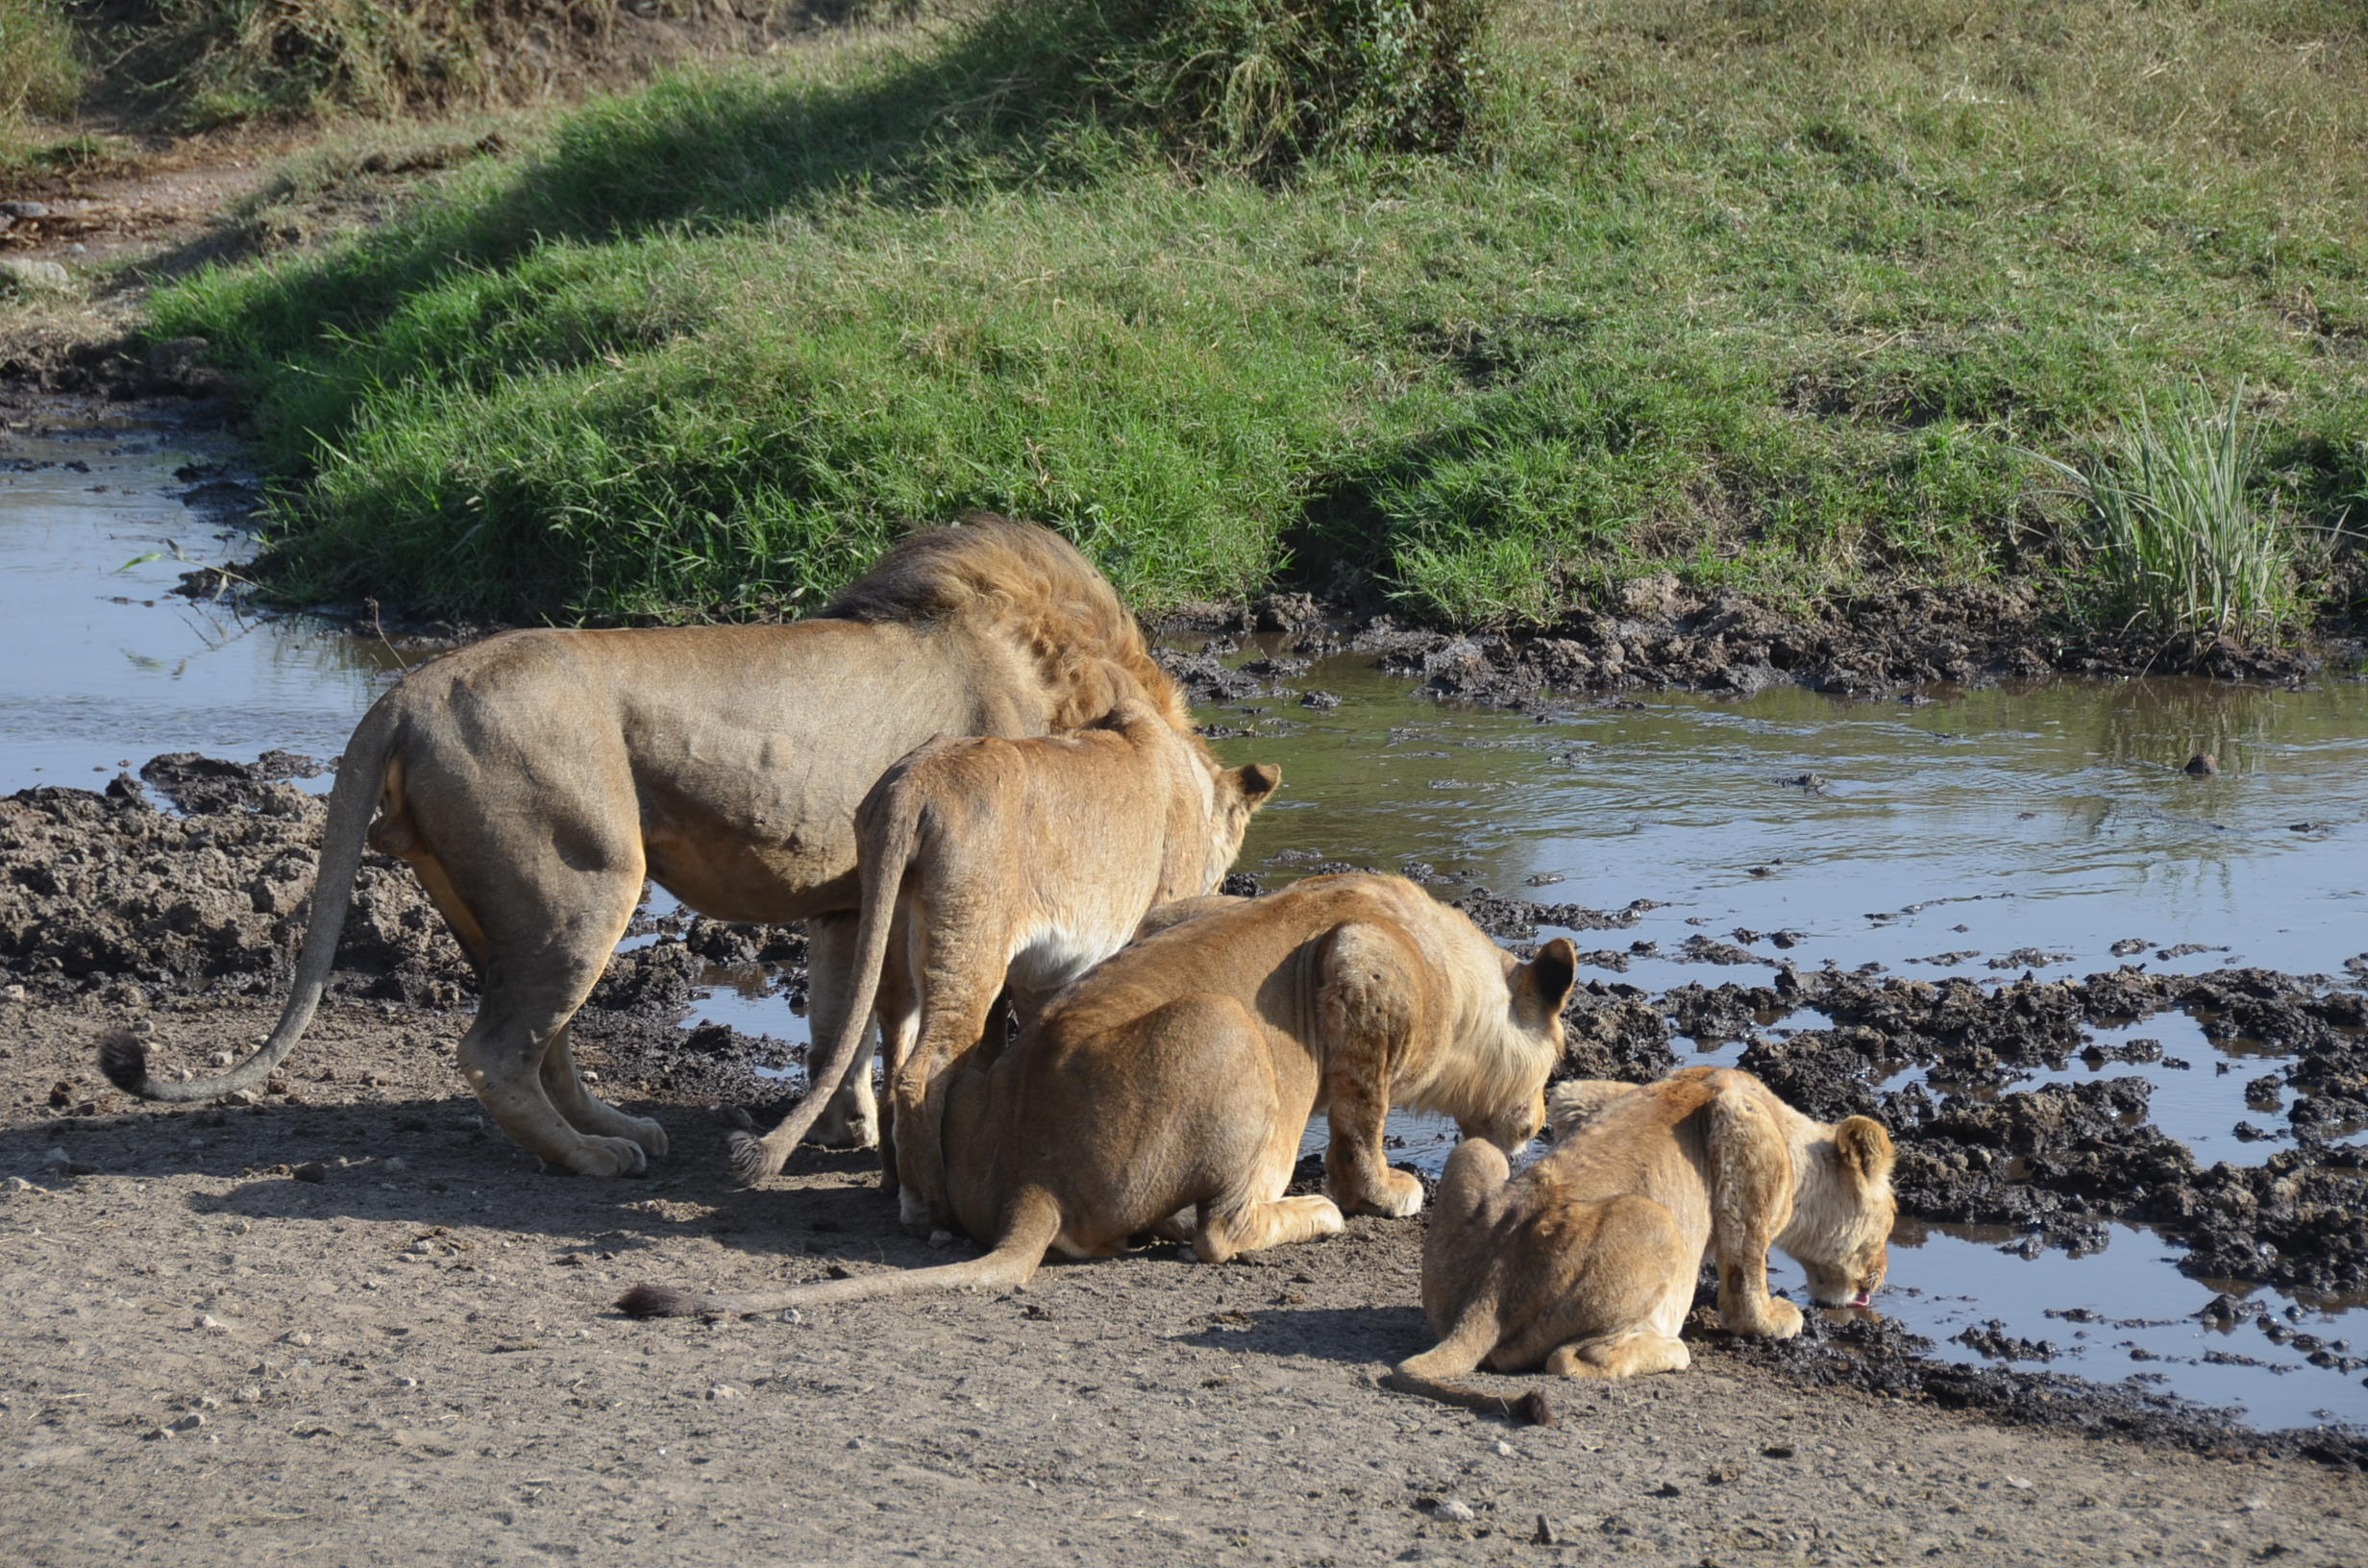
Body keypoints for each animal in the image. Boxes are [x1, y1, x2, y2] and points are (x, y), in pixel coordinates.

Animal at [99, 521, 1193, 1174]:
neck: (1081, 689)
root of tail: (404, 690)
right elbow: (889, 1020)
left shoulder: (851, 898)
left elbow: (839, 1023)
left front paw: (845, 1124)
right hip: (586, 880)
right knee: (494, 1051)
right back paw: (592, 1159)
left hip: (509, 907)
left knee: (544, 1043)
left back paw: (622, 1130)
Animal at [615, 876, 1572, 1316]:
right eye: (1556, 1062)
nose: (1534, 1128)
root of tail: (1032, 1177)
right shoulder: (1360, 967)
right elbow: (1360, 1122)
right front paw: (1382, 1192)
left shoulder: (1182, 906)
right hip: (1225, 1027)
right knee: (1220, 1232)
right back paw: (1307, 1214)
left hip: (988, 1056)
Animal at [724, 686, 1288, 1240]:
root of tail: (915, 782)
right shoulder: (1152, 915)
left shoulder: (1043, 974)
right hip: (973, 945)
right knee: (919, 1072)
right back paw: (932, 1211)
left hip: (897, 944)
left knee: (895, 1057)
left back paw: (893, 1181)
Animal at [1382, 1070, 1894, 1421]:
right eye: (1891, 1219)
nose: (1881, 1276)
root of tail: (1487, 1291)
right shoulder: (1741, 1123)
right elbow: (1747, 1285)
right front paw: (1777, 1319)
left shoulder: (1577, 1095)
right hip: (1659, 1223)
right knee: (1570, 1359)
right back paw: (1670, 1348)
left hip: (1477, 1154)